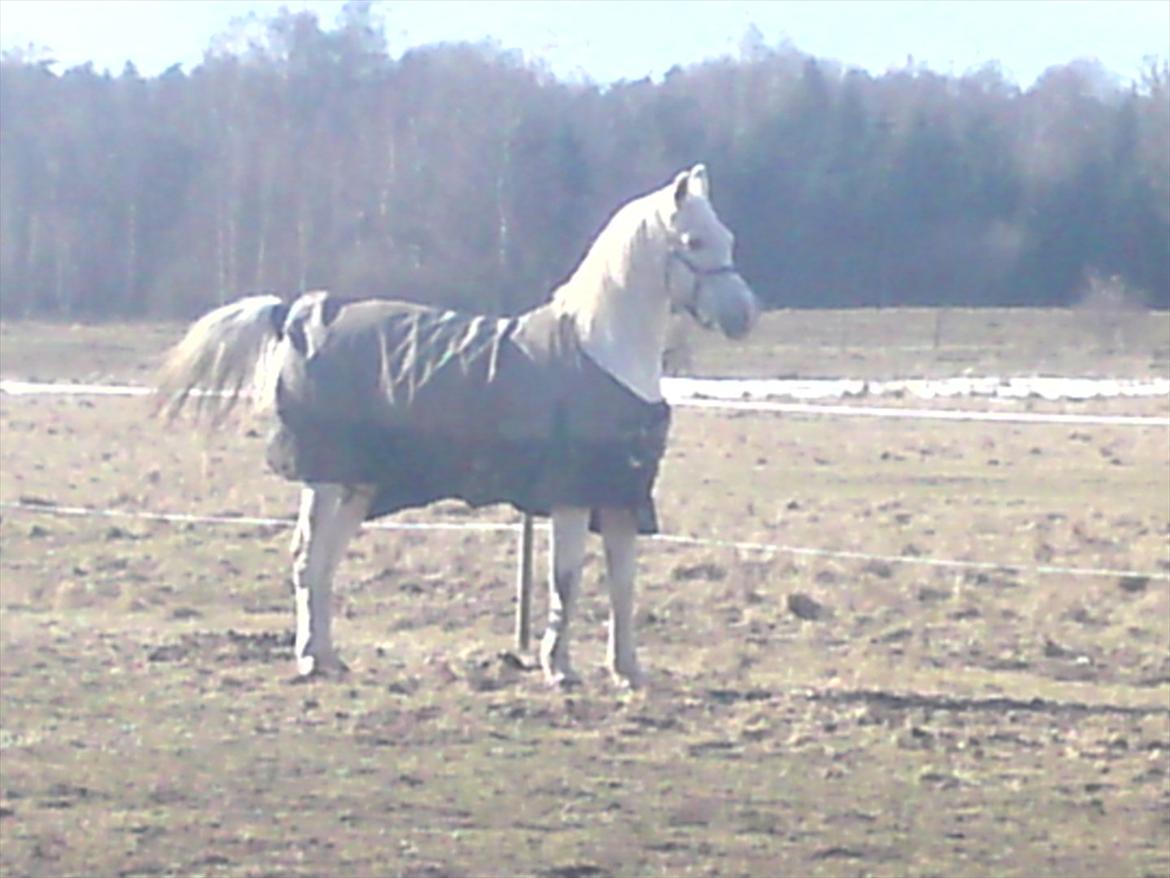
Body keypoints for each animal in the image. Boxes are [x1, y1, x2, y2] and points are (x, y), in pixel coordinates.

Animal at [155, 163, 758, 688]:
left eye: (728, 236)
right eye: (694, 241)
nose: (743, 317)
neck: (601, 350)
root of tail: (295, 315)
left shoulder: (620, 497)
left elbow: (623, 585)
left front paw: (627, 671)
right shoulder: (570, 496)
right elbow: (566, 578)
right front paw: (559, 668)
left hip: (357, 486)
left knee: (324, 561)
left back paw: (328, 657)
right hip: (325, 480)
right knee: (307, 558)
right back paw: (308, 658)